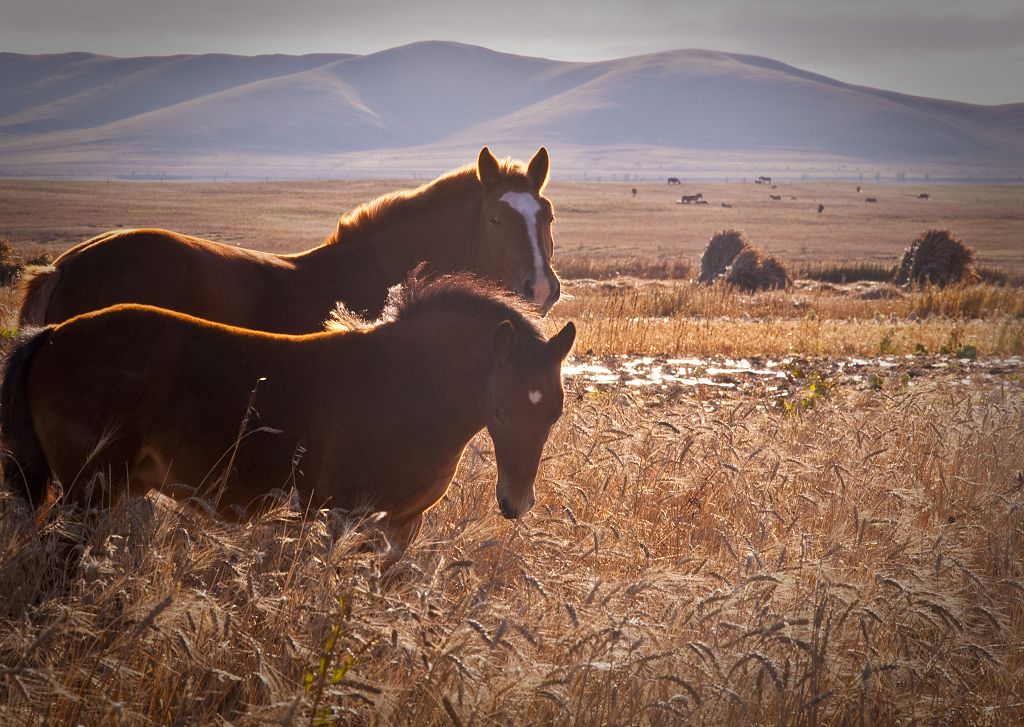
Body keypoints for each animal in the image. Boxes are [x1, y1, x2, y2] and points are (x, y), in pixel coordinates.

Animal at [0, 276, 577, 557]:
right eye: (499, 410)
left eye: (553, 414)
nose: (516, 504)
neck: (407, 388)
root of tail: (50, 336)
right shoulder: (344, 517)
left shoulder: (399, 527)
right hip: (89, 492)